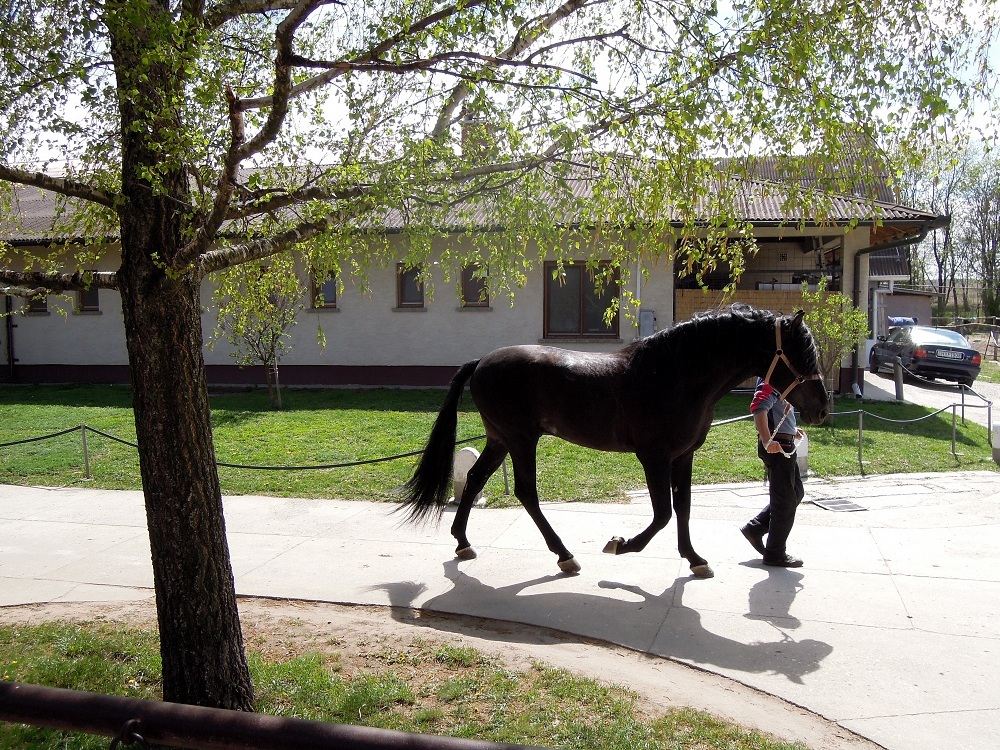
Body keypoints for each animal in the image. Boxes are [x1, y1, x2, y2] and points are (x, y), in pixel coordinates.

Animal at [398, 306, 828, 580]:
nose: (822, 408)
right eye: (800, 353)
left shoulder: (682, 456)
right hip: (521, 440)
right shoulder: (653, 456)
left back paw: (463, 543)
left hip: (500, 439)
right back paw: (565, 556)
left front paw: (694, 559)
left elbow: (683, 509)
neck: (676, 373)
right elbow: (662, 514)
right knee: (526, 492)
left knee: (474, 480)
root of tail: (482, 361)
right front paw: (621, 544)